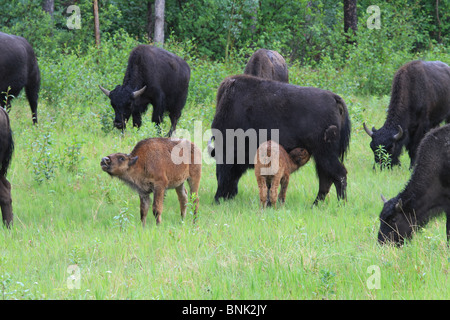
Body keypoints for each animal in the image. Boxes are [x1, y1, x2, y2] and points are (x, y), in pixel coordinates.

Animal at [208, 74, 352, 205]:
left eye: (221, 160)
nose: (220, 197)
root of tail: (335, 99)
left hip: (325, 154)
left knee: (339, 174)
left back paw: (341, 204)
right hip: (321, 157)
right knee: (326, 178)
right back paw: (315, 205)